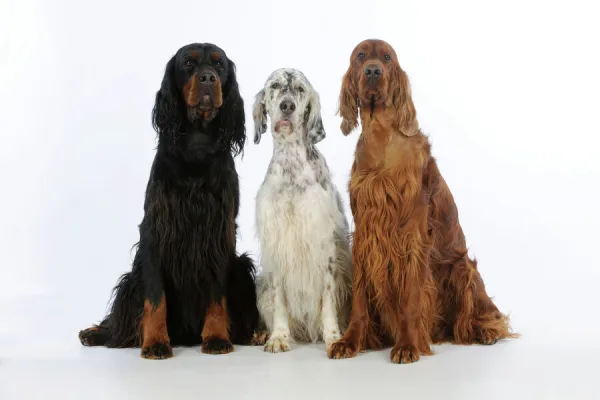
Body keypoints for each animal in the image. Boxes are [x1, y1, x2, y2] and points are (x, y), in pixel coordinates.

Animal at [78, 43, 258, 360]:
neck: (197, 143)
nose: (208, 79)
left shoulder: (218, 232)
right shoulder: (156, 229)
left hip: (241, 266)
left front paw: (216, 337)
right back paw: (96, 333)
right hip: (132, 277)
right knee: (120, 322)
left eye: (219, 65)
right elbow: (155, 298)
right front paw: (155, 342)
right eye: (187, 63)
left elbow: (217, 294)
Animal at [252, 69, 354, 354]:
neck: (291, 167)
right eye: (275, 86)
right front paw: (278, 337)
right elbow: (279, 302)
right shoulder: (277, 244)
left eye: (299, 89)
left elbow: (328, 299)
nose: (287, 106)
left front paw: (333, 337)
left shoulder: (326, 246)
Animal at [326, 39, 516, 364]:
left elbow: (411, 296)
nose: (373, 71)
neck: (382, 139)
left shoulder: (412, 234)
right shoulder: (365, 233)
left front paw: (407, 344)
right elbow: (360, 299)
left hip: (462, 268)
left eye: (387, 58)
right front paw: (350, 341)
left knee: (485, 311)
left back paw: (485, 331)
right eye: (361, 56)